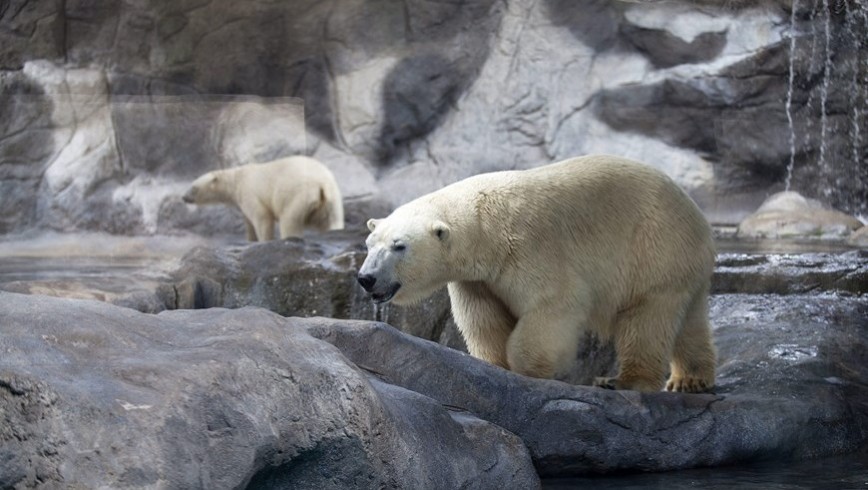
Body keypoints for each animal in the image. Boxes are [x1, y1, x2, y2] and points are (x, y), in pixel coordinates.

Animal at [182, 156, 344, 241]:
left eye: (193, 187)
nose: (184, 197)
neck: (237, 179)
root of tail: (321, 184)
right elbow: (249, 222)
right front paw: (251, 239)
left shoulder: (249, 192)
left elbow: (261, 217)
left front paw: (264, 240)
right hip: (332, 199)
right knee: (332, 220)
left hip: (297, 195)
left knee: (290, 221)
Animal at [357, 154, 716, 393]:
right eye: (369, 244)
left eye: (399, 246)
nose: (366, 278)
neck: (485, 227)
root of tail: (698, 218)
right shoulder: (477, 279)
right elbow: (484, 320)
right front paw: (493, 365)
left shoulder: (531, 248)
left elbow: (552, 306)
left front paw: (531, 371)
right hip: (678, 261)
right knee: (688, 320)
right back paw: (690, 379)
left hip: (652, 246)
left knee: (646, 318)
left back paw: (622, 380)